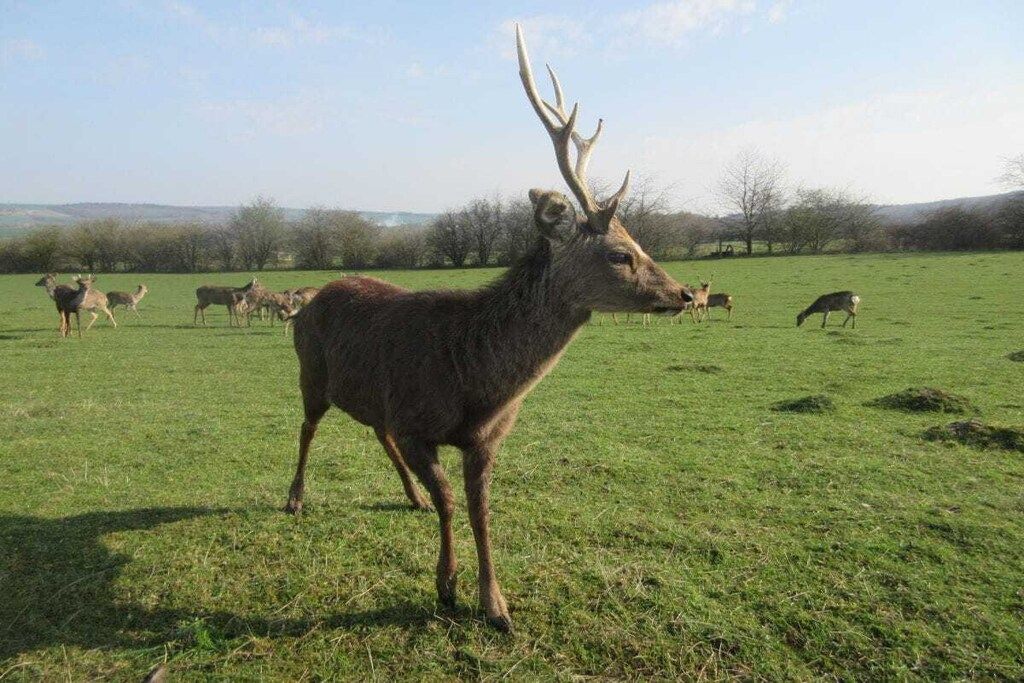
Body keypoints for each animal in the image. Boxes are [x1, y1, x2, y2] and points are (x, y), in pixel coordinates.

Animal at [282, 25, 690, 632]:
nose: (685, 293)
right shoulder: (414, 421)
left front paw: (495, 604)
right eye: (621, 254)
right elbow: (452, 502)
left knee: (374, 430)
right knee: (308, 428)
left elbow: (480, 510)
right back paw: (295, 498)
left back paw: (410, 497)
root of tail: (308, 298)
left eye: (639, 243)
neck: (476, 383)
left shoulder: (486, 438)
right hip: (310, 370)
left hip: (372, 394)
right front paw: (446, 586)